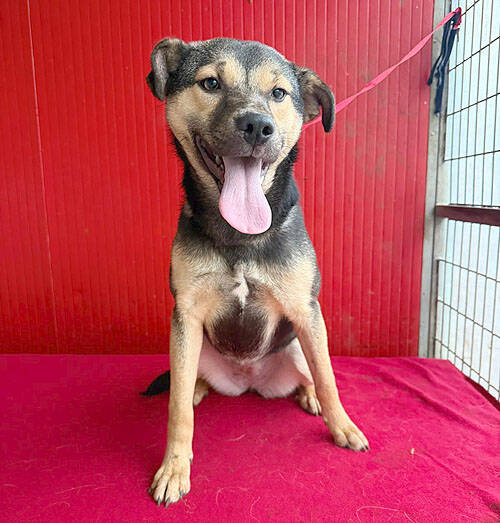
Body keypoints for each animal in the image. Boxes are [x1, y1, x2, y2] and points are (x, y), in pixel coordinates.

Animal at [144, 37, 369, 507]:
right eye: (210, 83)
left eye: (279, 93)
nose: (256, 126)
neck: (239, 235)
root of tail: (249, 381)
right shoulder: (185, 314)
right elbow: (176, 410)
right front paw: (174, 468)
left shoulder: (306, 310)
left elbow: (329, 377)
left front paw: (342, 426)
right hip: (190, 346)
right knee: (187, 380)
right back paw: (197, 387)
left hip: (299, 343)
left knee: (311, 370)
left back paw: (308, 396)